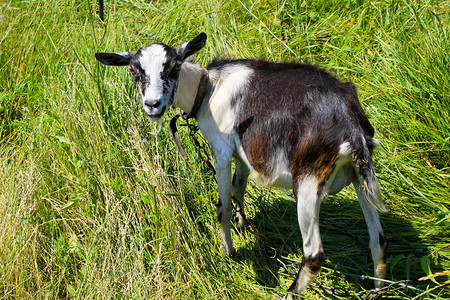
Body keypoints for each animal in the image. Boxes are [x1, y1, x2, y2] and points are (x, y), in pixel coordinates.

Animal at [96, 32, 388, 300]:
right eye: (134, 71)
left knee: (314, 254)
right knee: (379, 242)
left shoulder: (222, 152)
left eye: (175, 66)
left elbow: (222, 207)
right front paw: (242, 224)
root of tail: (352, 129)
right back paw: (378, 290)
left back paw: (289, 293)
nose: (153, 105)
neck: (208, 89)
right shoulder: (243, 154)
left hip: (308, 181)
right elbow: (239, 187)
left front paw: (229, 250)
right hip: (360, 178)